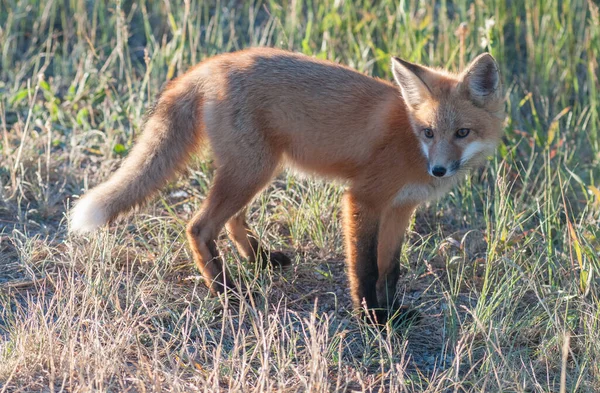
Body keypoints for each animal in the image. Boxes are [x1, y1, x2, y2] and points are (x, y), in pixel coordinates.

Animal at [70, 47, 504, 324]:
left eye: (462, 132)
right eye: (429, 132)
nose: (439, 170)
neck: (410, 142)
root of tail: (213, 63)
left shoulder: (400, 208)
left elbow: (390, 269)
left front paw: (393, 313)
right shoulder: (363, 199)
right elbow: (364, 267)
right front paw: (372, 318)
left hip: (256, 170)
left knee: (231, 221)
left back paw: (259, 260)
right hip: (252, 171)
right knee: (199, 227)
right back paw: (226, 291)